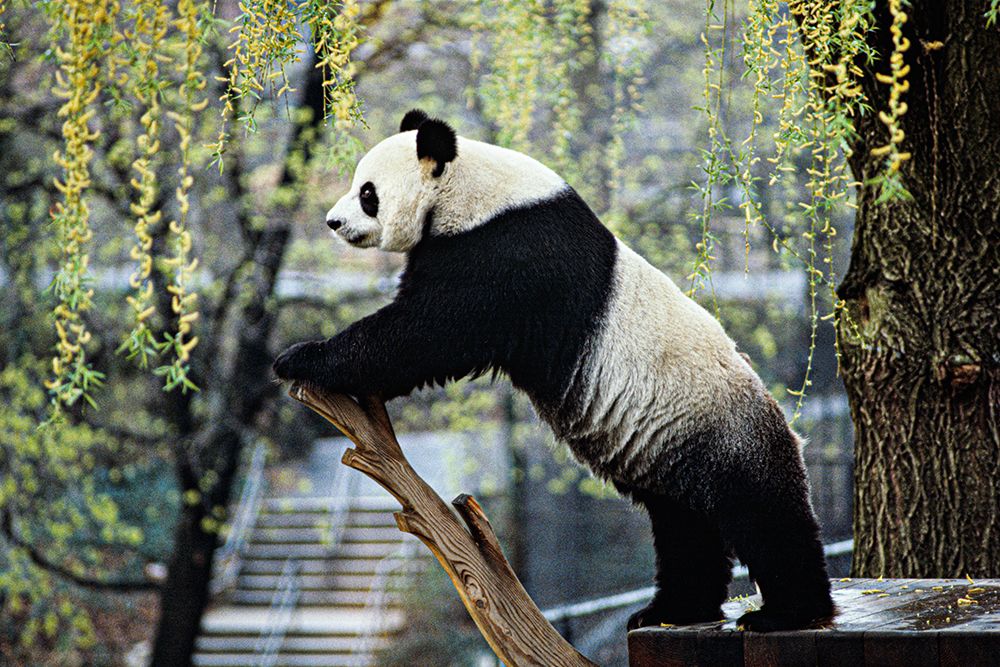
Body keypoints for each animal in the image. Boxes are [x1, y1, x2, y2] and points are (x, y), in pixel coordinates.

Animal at [274, 109, 834, 632]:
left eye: (367, 192)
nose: (333, 222)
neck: (471, 190)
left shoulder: (507, 252)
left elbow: (427, 332)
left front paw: (300, 357)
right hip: (673, 451)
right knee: (684, 528)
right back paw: (672, 610)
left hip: (724, 434)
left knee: (763, 516)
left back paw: (788, 613)